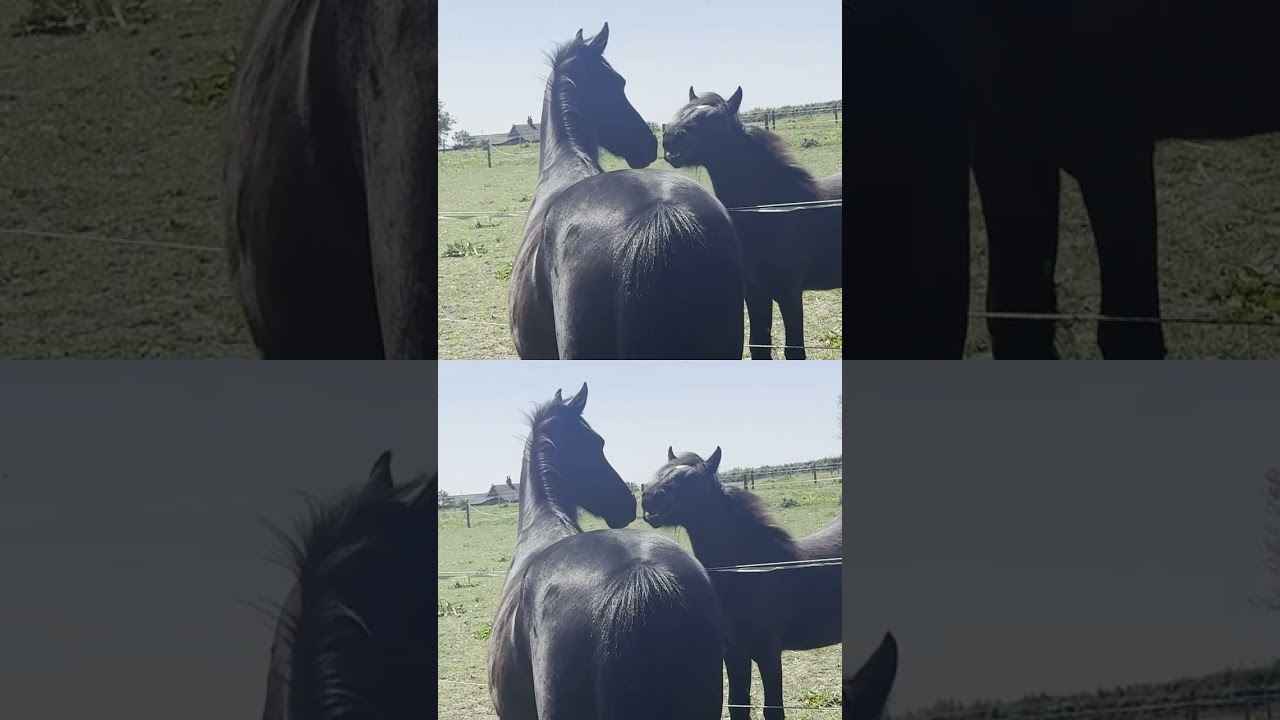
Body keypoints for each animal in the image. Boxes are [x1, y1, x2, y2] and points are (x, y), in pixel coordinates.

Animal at [642, 447, 842, 720]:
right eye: (661, 472)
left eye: (693, 478)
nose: (649, 498)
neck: (751, 571)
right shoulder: (734, 653)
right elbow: (737, 704)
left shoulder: (769, 654)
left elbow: (773, 709)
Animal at [663, 87, 843, 360]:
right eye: (683, 112)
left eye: (714, 118)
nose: (670, 138)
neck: (773, 211)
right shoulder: (756, 294)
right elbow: (759, 346)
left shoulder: (790, 293)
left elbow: (795, 350)